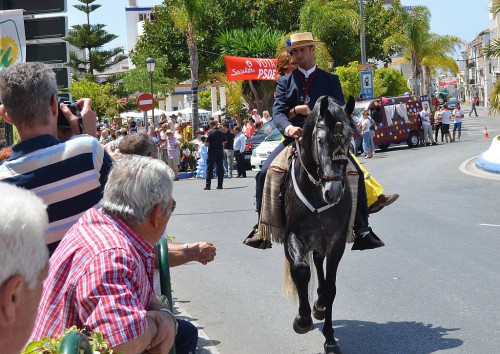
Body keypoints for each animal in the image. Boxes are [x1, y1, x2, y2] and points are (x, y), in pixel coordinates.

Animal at [284, 95, 358, 352]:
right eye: (320, 140)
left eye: (349, 138)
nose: (333, 192)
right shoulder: (292, 237)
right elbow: (300, 270)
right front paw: (302, 319)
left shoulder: (337, 244)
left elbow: (330, 288)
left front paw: (330, 338)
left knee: (319, 264)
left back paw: (319, 305)